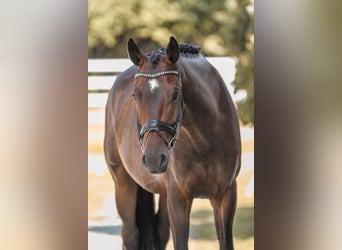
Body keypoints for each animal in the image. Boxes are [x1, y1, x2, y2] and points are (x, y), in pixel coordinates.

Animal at [104, 36, 240, 249]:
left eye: (175, 94)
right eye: (135, 96)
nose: (153, 158)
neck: (204, 141)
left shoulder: (225, 195)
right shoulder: (179, 199)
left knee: (160, 233)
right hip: (123, 183)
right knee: (131, 234)